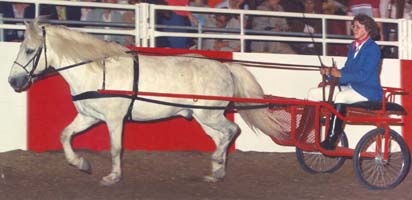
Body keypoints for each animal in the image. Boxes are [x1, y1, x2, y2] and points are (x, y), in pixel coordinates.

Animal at [8, 19, 286, 185]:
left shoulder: (114, 119)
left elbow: (116, 148)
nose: (13, 81)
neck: (97, 71)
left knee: (231, 130)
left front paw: (113, 176)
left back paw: (217, 164)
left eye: (30, 51)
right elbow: (65, 135)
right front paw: (81, 164)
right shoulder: (89, 116)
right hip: (203, 117)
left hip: (210, 114)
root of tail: (225, 66)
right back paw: (216, 171)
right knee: (221, 137)